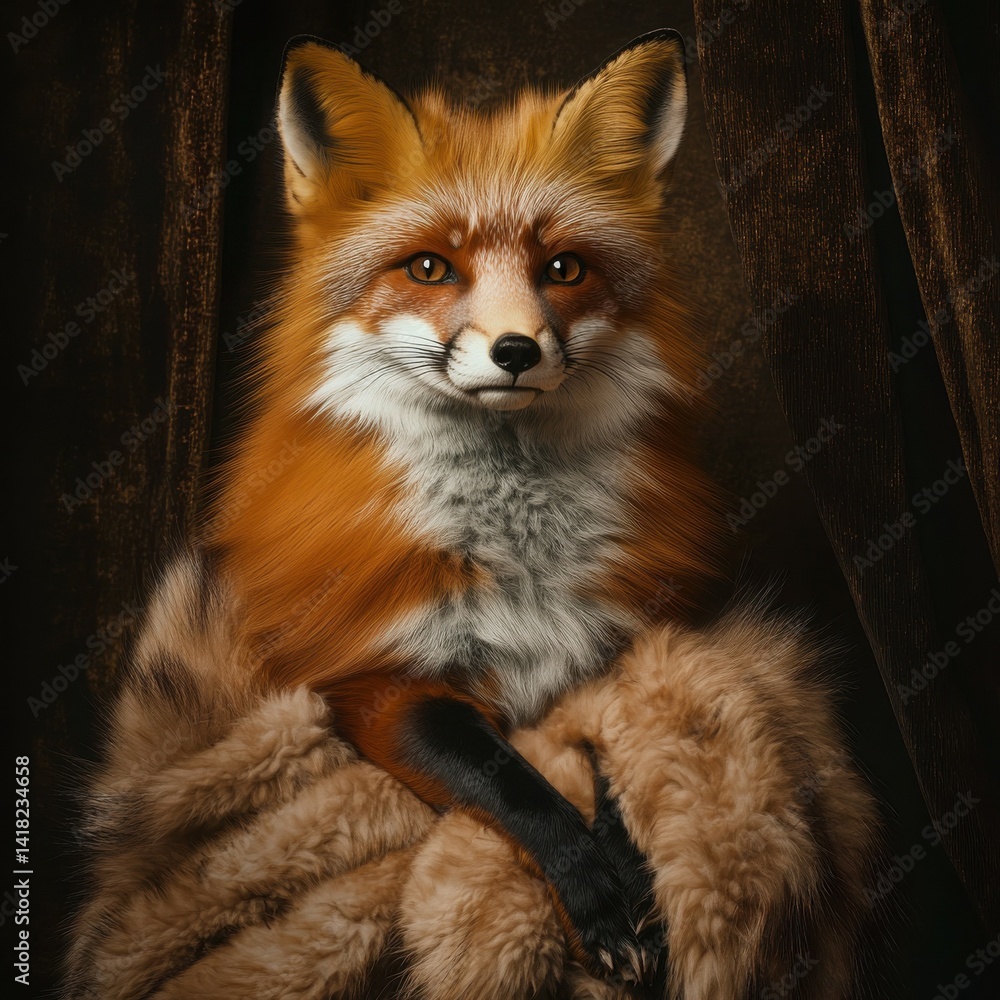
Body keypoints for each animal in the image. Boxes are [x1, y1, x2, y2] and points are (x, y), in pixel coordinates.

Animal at [195, 28, 723, 986]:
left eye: (564, 269)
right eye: (430, 268)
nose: (516, 350)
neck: (518, 565)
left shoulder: (619, 651)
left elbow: (610, 765)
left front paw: (634, 884)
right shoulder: (373, 681)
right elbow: (509, 779)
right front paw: (597, 897)